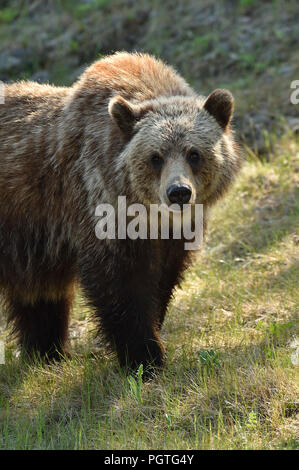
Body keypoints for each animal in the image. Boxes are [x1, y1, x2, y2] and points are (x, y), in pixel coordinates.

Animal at [0, 52, 243, 374]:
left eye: (194, 153)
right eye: (155, 157)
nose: (179, 192)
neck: (150, 217)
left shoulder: (175, 236)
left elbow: (162, 281)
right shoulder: (97, 206)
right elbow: (121, 284)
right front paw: (144, 357)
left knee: (40, 294)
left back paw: (48, 352)